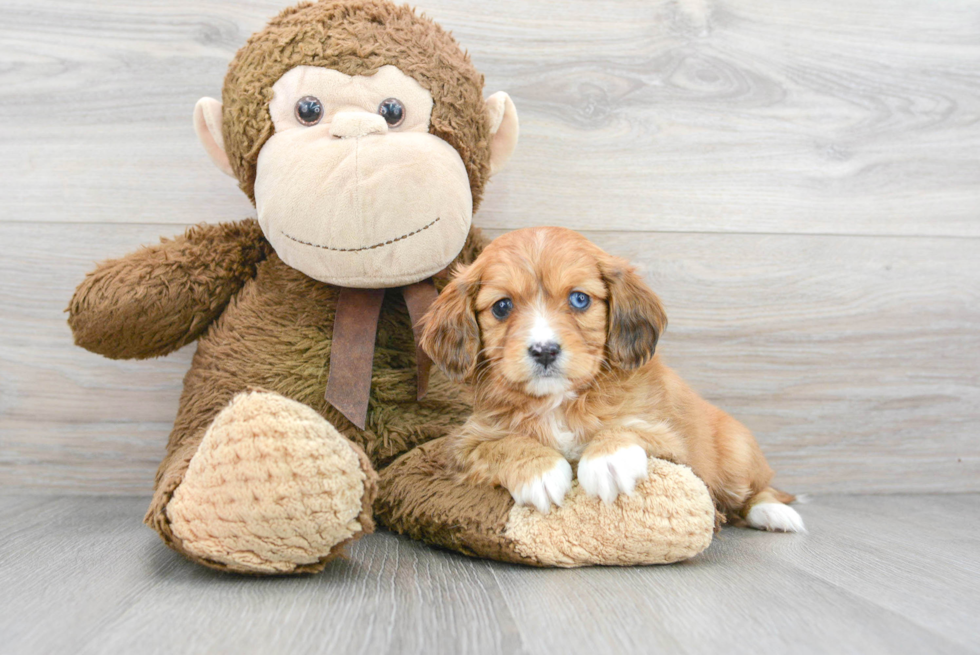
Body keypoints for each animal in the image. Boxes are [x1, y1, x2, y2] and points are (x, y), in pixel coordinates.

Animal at [420, 226, 804, 532]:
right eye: (502, 307)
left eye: (579, 299)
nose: (544, 351)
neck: (560, 403)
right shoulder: (466, 443)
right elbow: (503, 444)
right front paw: (539, 471)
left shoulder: (672, 442)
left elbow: (626, 425)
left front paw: (608, 460)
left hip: (738, 459)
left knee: (753, 493)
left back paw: (774, 513)